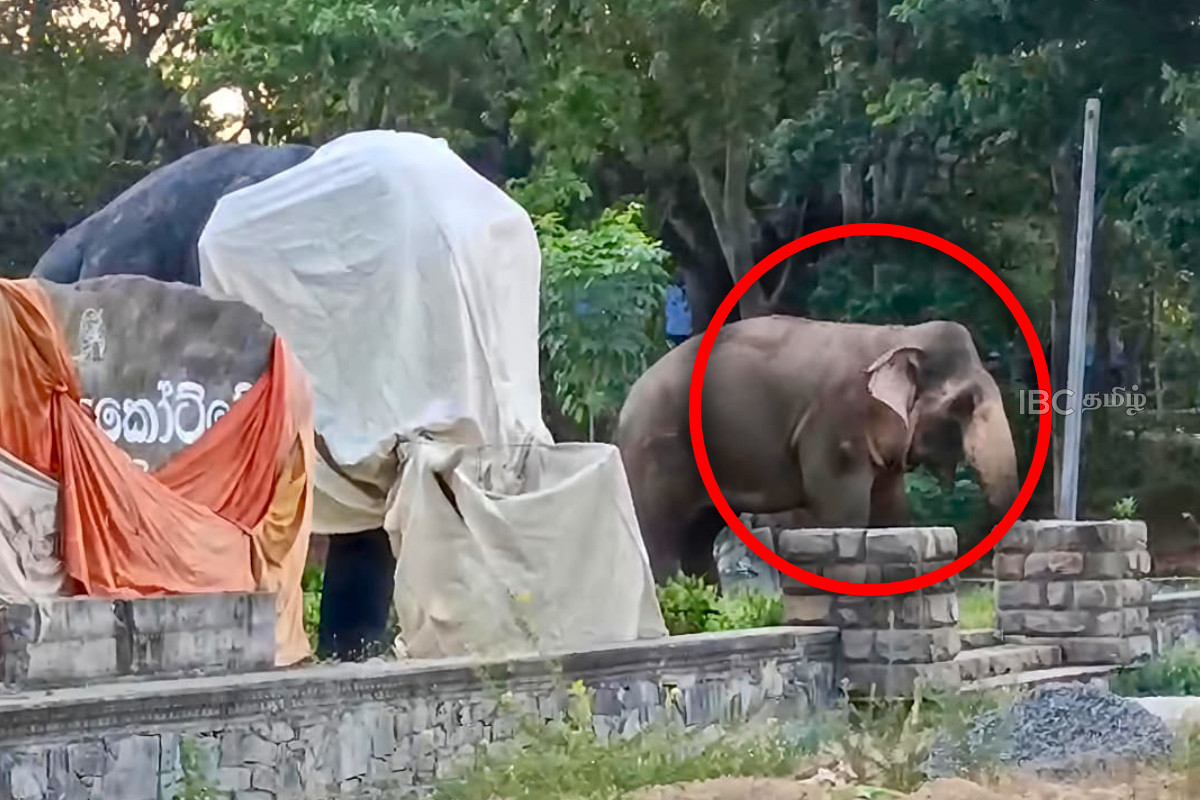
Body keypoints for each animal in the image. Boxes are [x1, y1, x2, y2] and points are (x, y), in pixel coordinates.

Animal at [615, 314, 1021, 584]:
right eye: (962, 405)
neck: (898, 335)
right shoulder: (834, 425)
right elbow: (844, 514)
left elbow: (890, 511)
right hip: (656, 449)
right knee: (660, 534)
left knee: (697, 536)